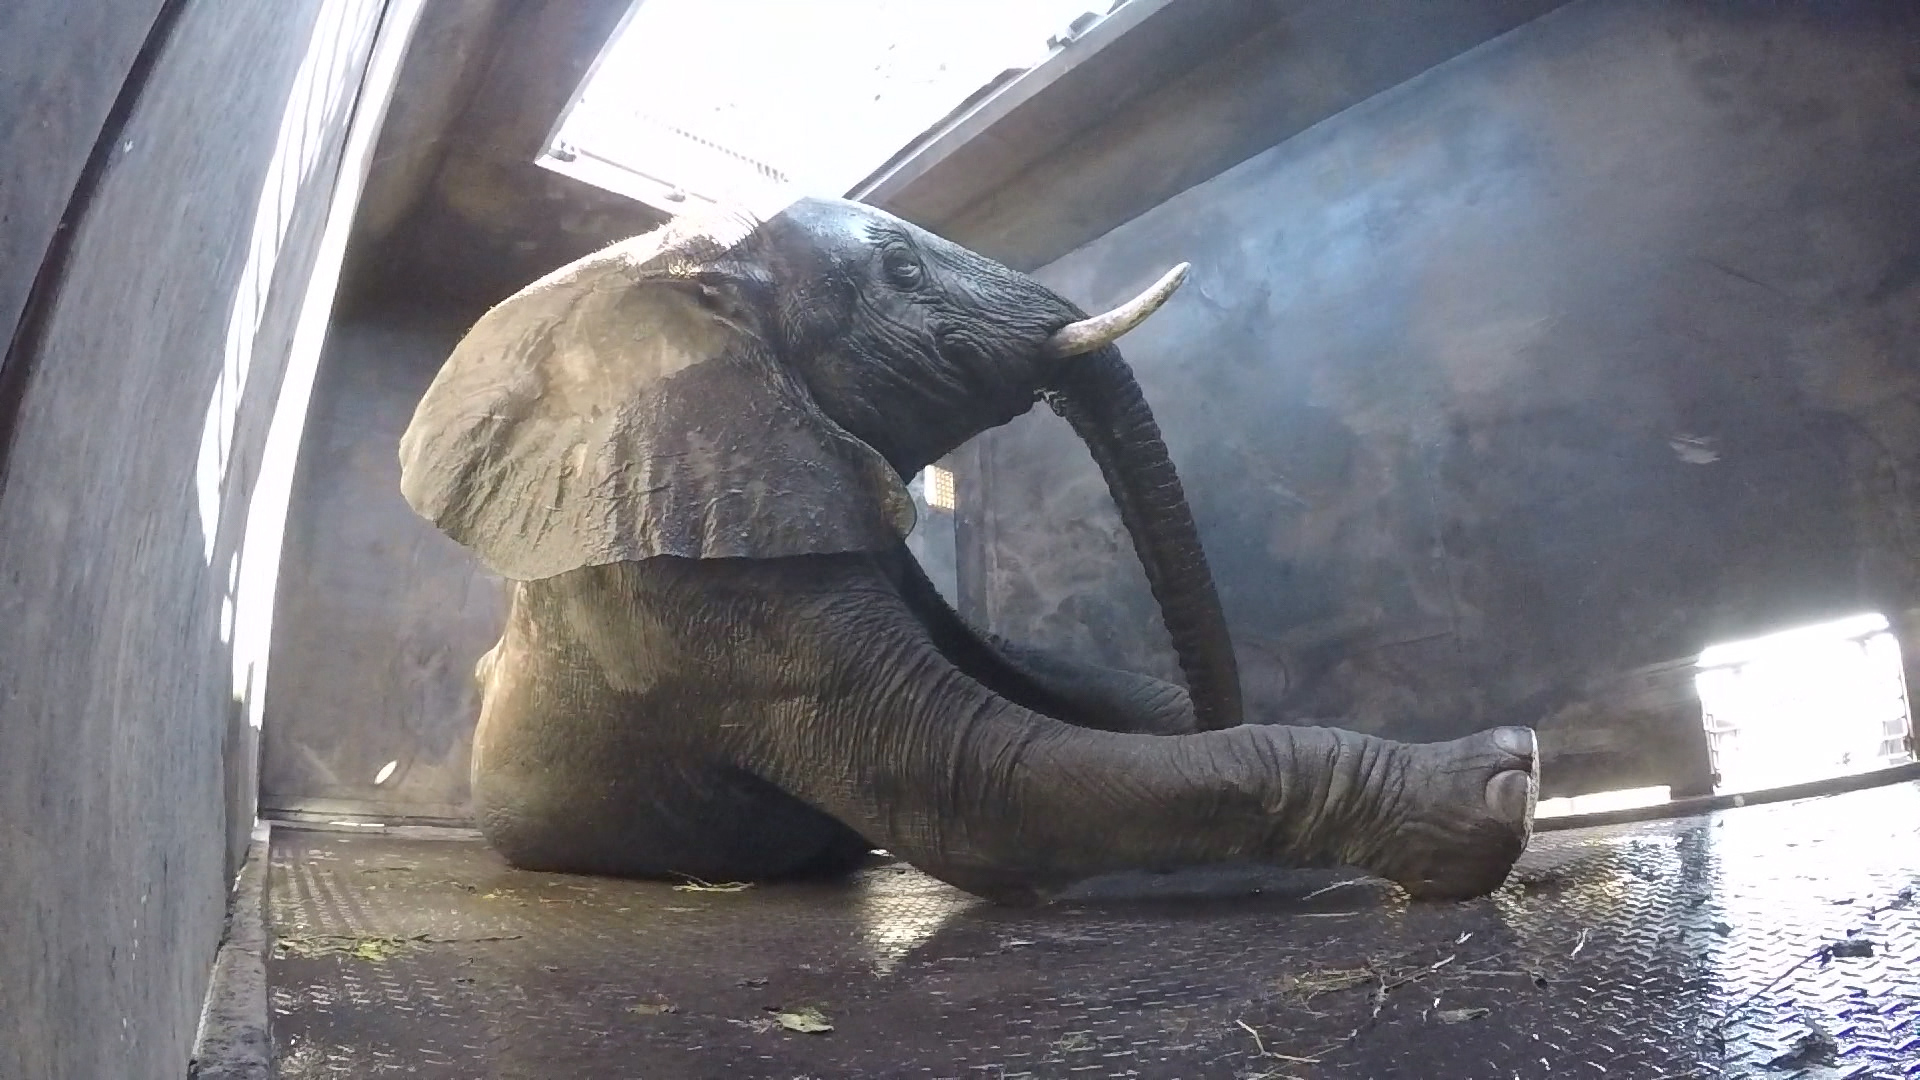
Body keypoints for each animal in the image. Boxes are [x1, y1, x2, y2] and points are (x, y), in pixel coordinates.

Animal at [397, 195, 1538, 904]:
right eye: (900, 268)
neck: (667, 272)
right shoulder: (690, 597)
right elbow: (970, 780)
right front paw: (1496, 784)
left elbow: (1037, 680)